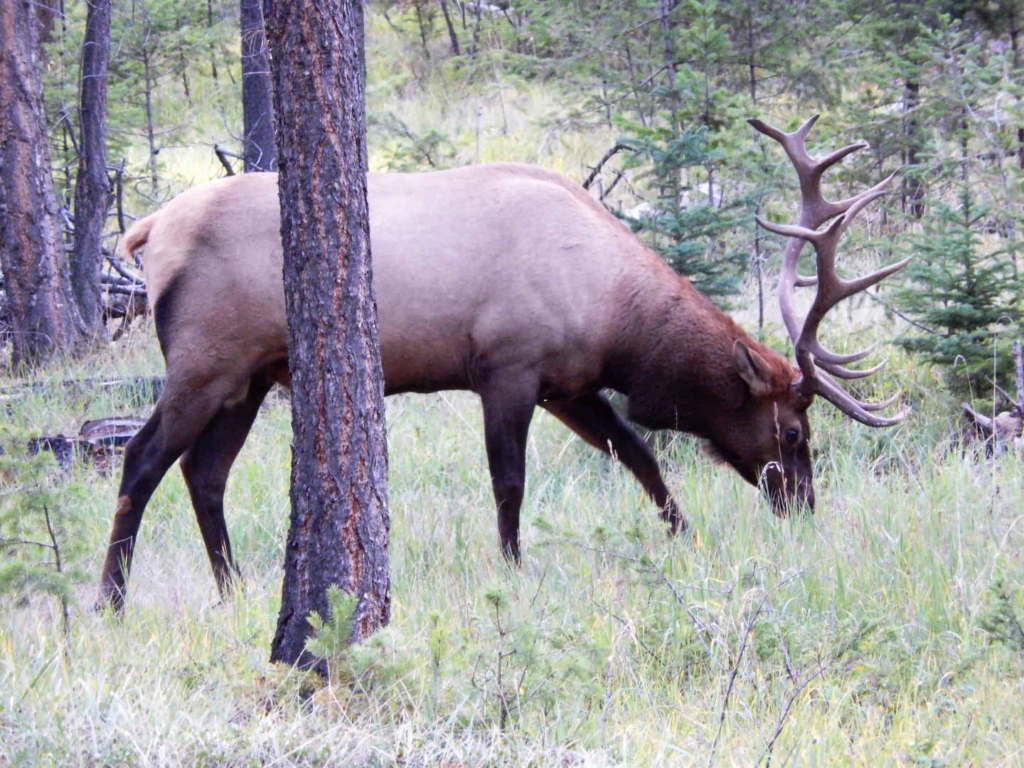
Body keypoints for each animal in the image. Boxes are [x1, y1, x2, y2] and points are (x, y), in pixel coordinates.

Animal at [97, 115, 913, 614]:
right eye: (796, 432)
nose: (803, 505)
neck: (616, 316)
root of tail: (148, 231)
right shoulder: (508, 368)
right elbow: (510, 481)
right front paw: (514, 569)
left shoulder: (569, 384)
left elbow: (641, 455)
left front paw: (683, 537)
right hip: (205, 361)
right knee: (141, 458)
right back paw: (110, 599)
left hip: (250, 377)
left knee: (204, 472)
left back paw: (233, 588)